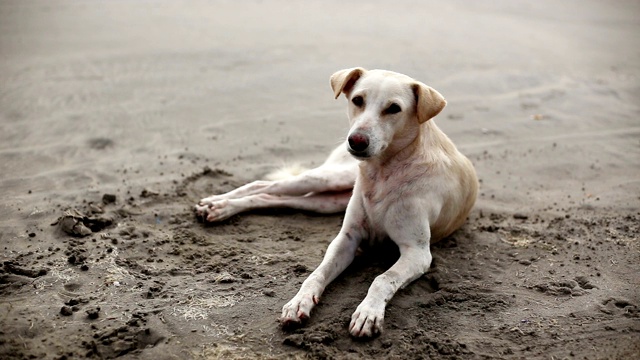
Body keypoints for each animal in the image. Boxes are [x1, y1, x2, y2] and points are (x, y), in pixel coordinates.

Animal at [198, 69, 478, 338]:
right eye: (357, 100)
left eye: (394, 108)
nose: (356, 141)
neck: (382, 172)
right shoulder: (347, 238)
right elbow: (317, 274)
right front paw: (299, 302)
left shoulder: (417, 252)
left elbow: (382, 278)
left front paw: (368, 313)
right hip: (329, 178)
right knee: (265, 185)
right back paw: (217, 204)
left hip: (327, 201)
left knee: (272, 196)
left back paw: (219, 207)